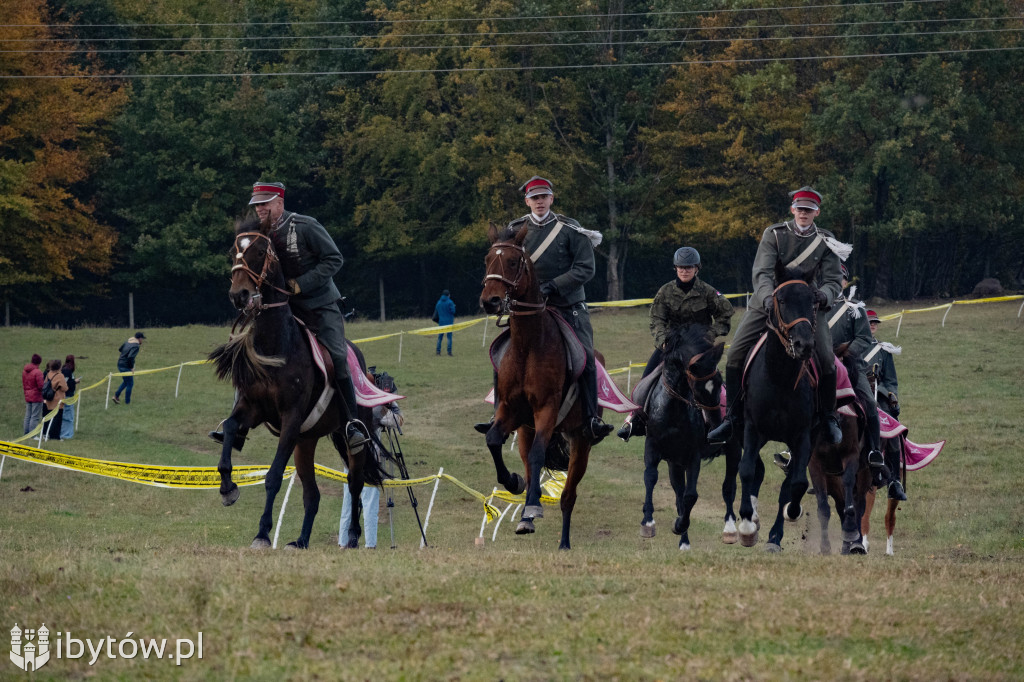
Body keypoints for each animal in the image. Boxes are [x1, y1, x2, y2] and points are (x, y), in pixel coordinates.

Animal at [208, 216, 385, 548]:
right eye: (233, 251)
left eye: (260, 251)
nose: (239, 295)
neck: (278, 345)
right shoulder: (253, 409)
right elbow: (230, 430)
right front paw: (227, 489)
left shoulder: (290, 419)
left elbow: (274, 476)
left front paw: (262, 533)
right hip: (306, 442)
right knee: (312, 494)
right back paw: (301, 540)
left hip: (350, 439)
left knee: (355, 483)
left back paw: (353, 537)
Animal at [479, 222, 598, 548]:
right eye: (487, 260)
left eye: (512, 261)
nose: (490, 301)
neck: (528, 344)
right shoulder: (511, 411)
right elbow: (494, 441)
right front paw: (513, 482)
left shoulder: (547, 409)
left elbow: (538, 455)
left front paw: (532, 506)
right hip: (525, 431)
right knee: (530, 466)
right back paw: (526, 514)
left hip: (580, 442)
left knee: (568, 496)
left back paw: (562, 540)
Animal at [638, 323, 729, 548]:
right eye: (697, 387)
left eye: (719, 381)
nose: (716, 424)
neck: (673, 411)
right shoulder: (653, 448)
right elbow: (651, 477)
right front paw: (648, 522)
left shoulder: (693, 456)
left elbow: (690, 496)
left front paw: (680, 525)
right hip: (674, 463)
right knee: (678, 493)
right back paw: (684, 541)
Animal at [737, 262, 823, 548]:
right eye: (782, 300)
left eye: (813, 300)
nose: (804, 344)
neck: (779, 378)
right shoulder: (751, 429)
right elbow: (747, 470)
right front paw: (745, 524)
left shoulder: (802, 436)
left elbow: (796, 483)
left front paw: (791, 512)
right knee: (756, 471)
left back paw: (775, 536)